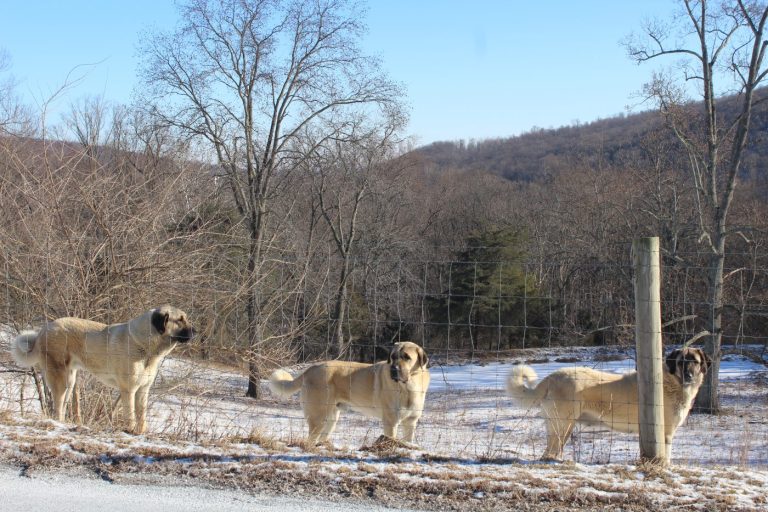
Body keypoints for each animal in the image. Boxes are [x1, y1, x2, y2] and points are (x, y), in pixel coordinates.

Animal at [10, 306, 196, 434]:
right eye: (180, 319)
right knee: (58, 404)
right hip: (60, 379)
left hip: (70, 380)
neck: (147, 346)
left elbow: (142, 415)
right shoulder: (129, 390)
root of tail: (43, 330)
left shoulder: (143, 390)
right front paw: (130, 430)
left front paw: (141, 432)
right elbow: (131, 415)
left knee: (62, 404)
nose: (196, 331)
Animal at [268, 342, 428, 446]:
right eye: (393, 356)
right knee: (311, 439)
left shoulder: (410, 422)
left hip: (331, 418)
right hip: (318, 417)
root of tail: (311, 368)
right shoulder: (391, 421)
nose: (393, 369)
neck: (409, 386)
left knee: (321, 437)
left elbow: (408, 440)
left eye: (407, 357)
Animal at [508, 348, 712, 460]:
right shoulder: (665, 433)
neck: (671, 382)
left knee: (549, 450)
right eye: (681, 362)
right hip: (563, 424)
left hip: (559, 425)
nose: (689, 375)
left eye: (694, 362)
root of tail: (551, 377)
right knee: (552, 450)